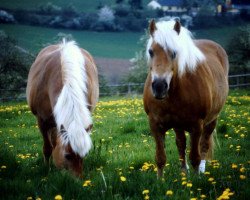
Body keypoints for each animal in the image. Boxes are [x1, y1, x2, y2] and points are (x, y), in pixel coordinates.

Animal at [26, 40, 98, 177]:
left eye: (84, 155)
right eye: (67, 156)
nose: (78, 179)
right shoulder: (41, 121)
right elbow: (47, 148)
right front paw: (47, 168)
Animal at [144, 19, 229, 177]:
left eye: (174, 53)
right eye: (151, 52)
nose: (159, 86)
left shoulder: (197, 126)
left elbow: (195, 157)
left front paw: (196, 179)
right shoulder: (155, 125)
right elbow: (160, 158)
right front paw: (160, 181)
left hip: (211, 120)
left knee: (204, 145)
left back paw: (201, 171)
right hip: (178, 125)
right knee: (181, 143)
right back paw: (184, 172)